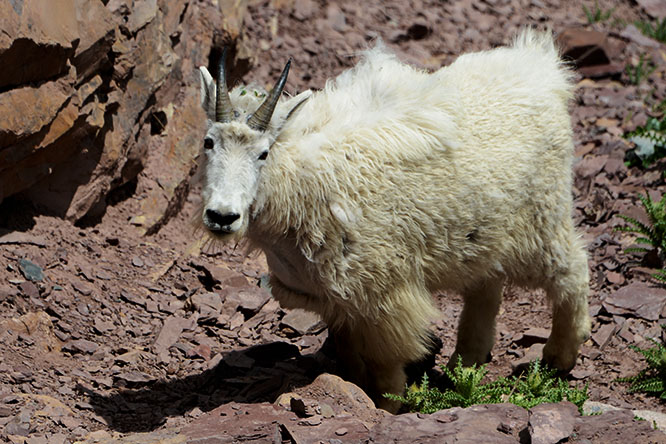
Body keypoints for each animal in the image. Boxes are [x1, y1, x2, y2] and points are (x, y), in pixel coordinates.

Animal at [196, 29, 590, 412]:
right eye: (208, 143)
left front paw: (389, 407)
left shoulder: (383, 290)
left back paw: (559, 357)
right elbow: (349, 354)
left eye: (263, 153)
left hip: (542, 214)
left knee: (571, 269)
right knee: (486, 285)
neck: (297, 177)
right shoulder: (337, 297)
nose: (222, 216)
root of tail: (543, 68)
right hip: (481, 230)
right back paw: (465, 365)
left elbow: (383, 363)